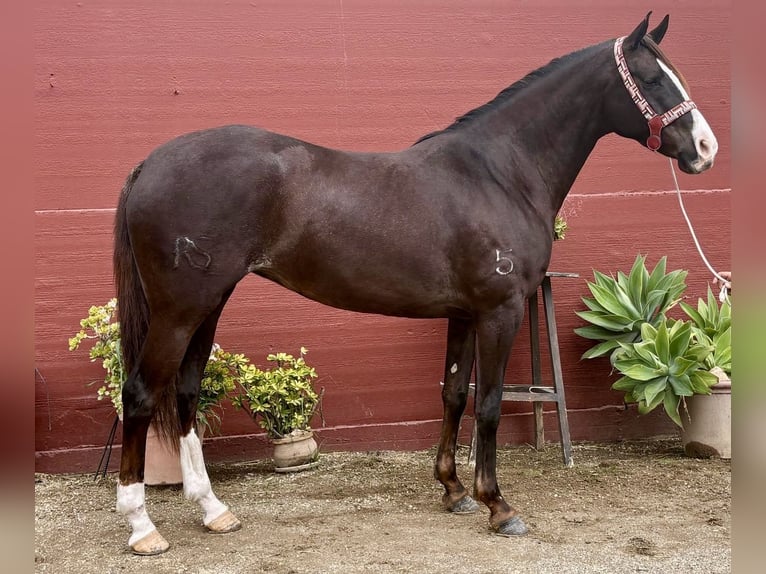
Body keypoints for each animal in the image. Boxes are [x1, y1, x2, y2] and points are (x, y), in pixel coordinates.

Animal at [112, 13, 717, 554]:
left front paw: (453, 491)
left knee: (186, 392)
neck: (498, 173)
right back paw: (143, 528)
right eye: (654, 78)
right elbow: (489, 404)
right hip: (178, 309)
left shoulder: (465, 313)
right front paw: (499, 506)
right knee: (140, 394)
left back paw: (213, 509)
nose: (706, 150)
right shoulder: (500, 311)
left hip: (208, 304)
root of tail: (149, 164)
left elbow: (453, 393)